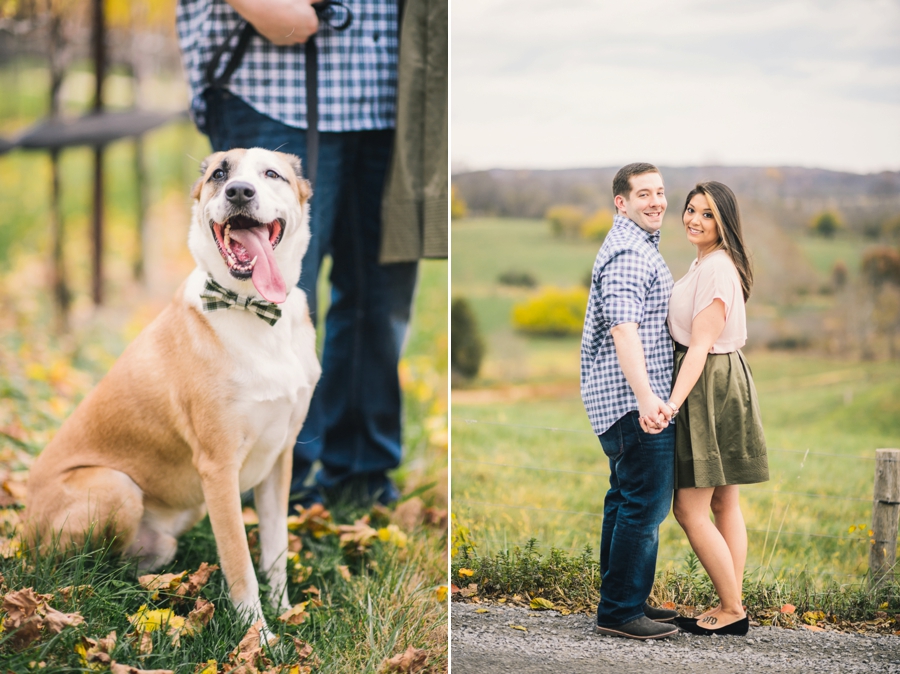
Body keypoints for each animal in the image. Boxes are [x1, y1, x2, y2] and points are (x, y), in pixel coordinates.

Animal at [24, 146, 322, 632]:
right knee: (72, 568)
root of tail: (18, 532)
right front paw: (258, 636)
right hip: (116, 487)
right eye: (220, 174)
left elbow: (275, 552)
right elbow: (241, 564)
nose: (239, 191)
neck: (254, 310)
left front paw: (283, 611)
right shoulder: (219, 468)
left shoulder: (280, 459)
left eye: (271, 174)